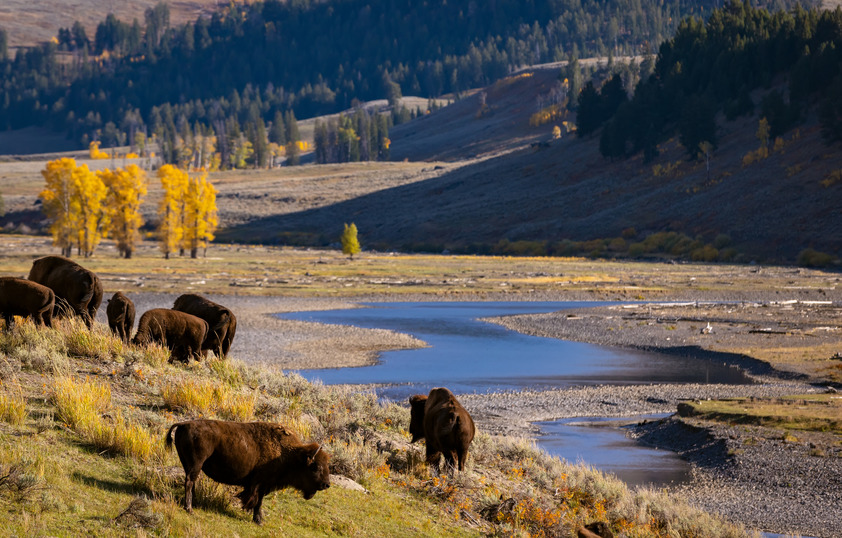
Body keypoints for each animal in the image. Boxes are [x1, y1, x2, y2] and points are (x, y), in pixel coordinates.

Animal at [166, 416, 330, 520]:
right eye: (315, 467)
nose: (326, 484)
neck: (288, 453)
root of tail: (184, 424)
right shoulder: (260, 484)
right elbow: (257, 502)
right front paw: (258, 520)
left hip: (188, 464)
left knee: (190, 482)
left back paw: (193, 504)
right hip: (196, 464)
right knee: (189, 481)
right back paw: (189, 509)